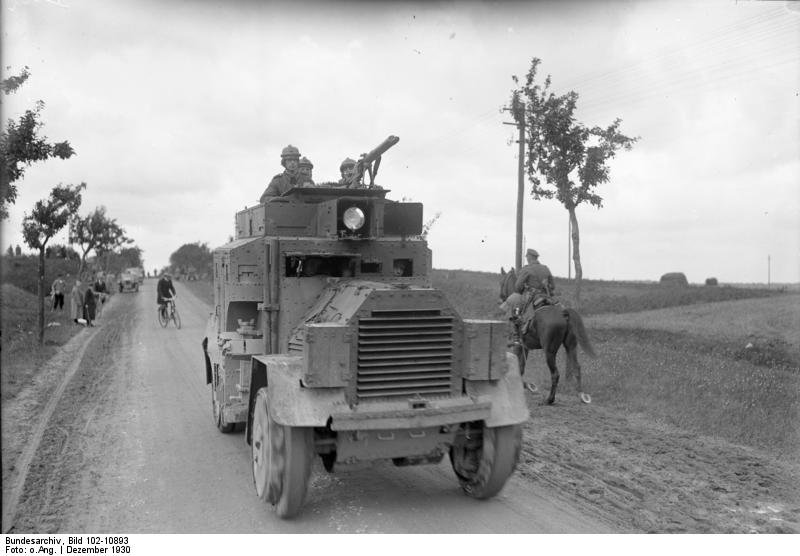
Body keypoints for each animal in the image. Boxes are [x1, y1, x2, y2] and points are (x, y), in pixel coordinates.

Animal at [500, 268, 592, 406]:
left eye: (502, 282)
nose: (501, 296)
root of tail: (564, 314)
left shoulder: (519, 346)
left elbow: (518, 366)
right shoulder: (525, 347)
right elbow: (521, 367)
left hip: (549, 351)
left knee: (555, 374)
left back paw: (549, 399)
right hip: (571, 347)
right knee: (576, 368)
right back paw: (581, 395)